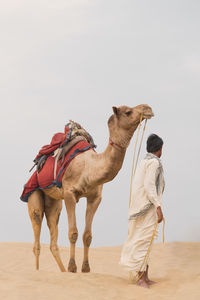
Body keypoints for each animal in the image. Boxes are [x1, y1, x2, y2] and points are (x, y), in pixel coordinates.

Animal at [27, 104, 153, 274]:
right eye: (128, 112)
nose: (148, 108)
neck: (89, 168)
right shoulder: (69, 193)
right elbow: (73, 232)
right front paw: (72, 267)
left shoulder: (95, 197)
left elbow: (87, 236)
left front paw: (86, 268)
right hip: (34, 193)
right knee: (37, 229)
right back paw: (38, 271)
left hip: (54, 202)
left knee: (53, 237)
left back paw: (61, 271)